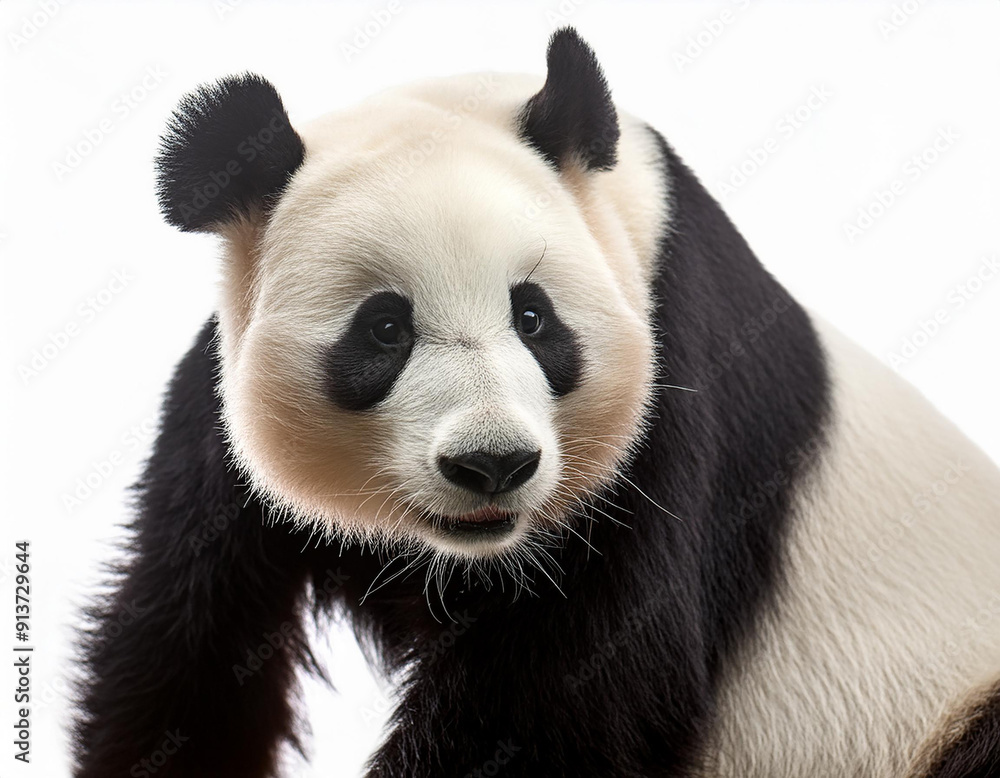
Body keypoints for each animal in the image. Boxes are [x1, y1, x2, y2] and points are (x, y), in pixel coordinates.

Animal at [73, 27, 1000, 778]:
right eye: (384, 329)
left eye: (533, 316)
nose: (493, 465)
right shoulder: (218, 430)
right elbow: (189, 651)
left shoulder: (666, 412)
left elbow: (572, 693)